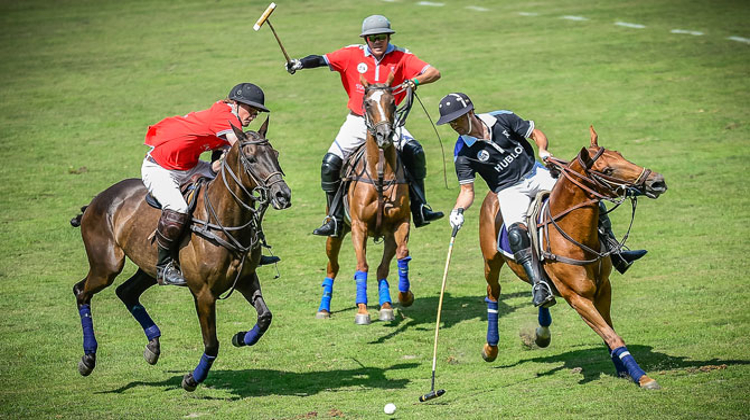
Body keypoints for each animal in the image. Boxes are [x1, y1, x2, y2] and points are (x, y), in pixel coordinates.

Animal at [71, 120, 290, 392]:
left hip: (148, 267)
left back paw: (152, 347)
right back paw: (88, 358)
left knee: (126, 292)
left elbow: (265, 317)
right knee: (82, 291)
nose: (283, 195)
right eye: (250, 158)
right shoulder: (204, 294)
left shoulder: (246, 278)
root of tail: (95, 201)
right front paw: (192, 379)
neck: (225, 221)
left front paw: (241, 337)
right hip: (106, 265)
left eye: (275, 154)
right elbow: (212, 343)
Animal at [314, 74, 414, 324]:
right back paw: (323, 308)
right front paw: (362, 311)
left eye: (392, 102)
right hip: (337, 232)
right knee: (332, 266)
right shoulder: (359, 227)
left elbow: (396, 259)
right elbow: (362, 266)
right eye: (368, 104)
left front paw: (401, 298)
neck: (380, 174)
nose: (384, 136)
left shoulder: (399, 224)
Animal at [478, 126, 668, 388]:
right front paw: (642, 377)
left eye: (621, 154)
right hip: (491, 260)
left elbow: (609, 332)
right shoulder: (578, 297)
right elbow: (612, 336)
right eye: (607, 170)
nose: (657, 181)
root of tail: (492, 193)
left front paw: (624, 370)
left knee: (537, 287)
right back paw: (491, 348)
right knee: (493, 292)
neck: (577, 237)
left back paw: (542, 327)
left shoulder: (603, 288)